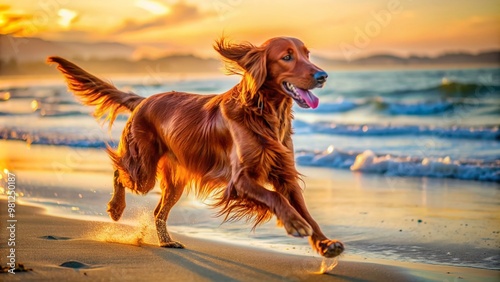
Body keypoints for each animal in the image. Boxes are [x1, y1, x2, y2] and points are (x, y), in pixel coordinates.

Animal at [47, 37, 344, 258]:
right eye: (287, 57)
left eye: (307, 54)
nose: (323, 75)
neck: (263, 113)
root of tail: (144, 100)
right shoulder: (240, 180)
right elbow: (276, 198)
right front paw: (295, 224)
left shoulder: (285, 174)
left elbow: (306, 211)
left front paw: (325, 243)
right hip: (143, 171)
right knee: (119, 171)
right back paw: (116, 208)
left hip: (174, 180)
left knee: (157, 211)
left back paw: (166, 241)